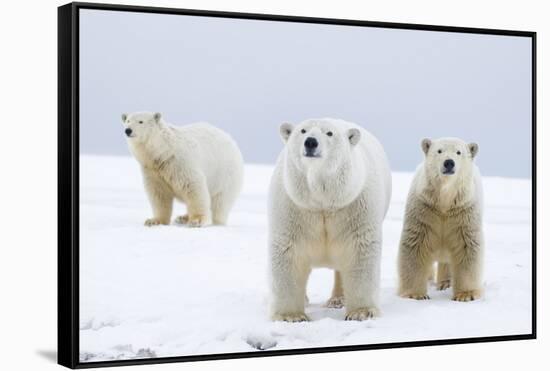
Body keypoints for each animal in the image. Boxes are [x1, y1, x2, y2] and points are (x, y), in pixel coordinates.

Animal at [268, 117, 392, 322]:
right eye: (303, 130)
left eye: (329, 133)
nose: (310, 142)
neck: (323, 203)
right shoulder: (294, 206)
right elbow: (289, 251)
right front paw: (292, 316)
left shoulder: (354, 205)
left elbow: (359, 250)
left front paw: (361, 312)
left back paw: (338, 300)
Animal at [398, 137, 486, 302]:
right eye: (439, 151)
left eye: (458, 152)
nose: (449, 163)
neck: (444, 202)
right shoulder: (424, 210)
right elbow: (416, 246)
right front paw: (416, 294)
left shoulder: (463, 213)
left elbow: (466, 247)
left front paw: (466, 295)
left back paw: (445, 283)